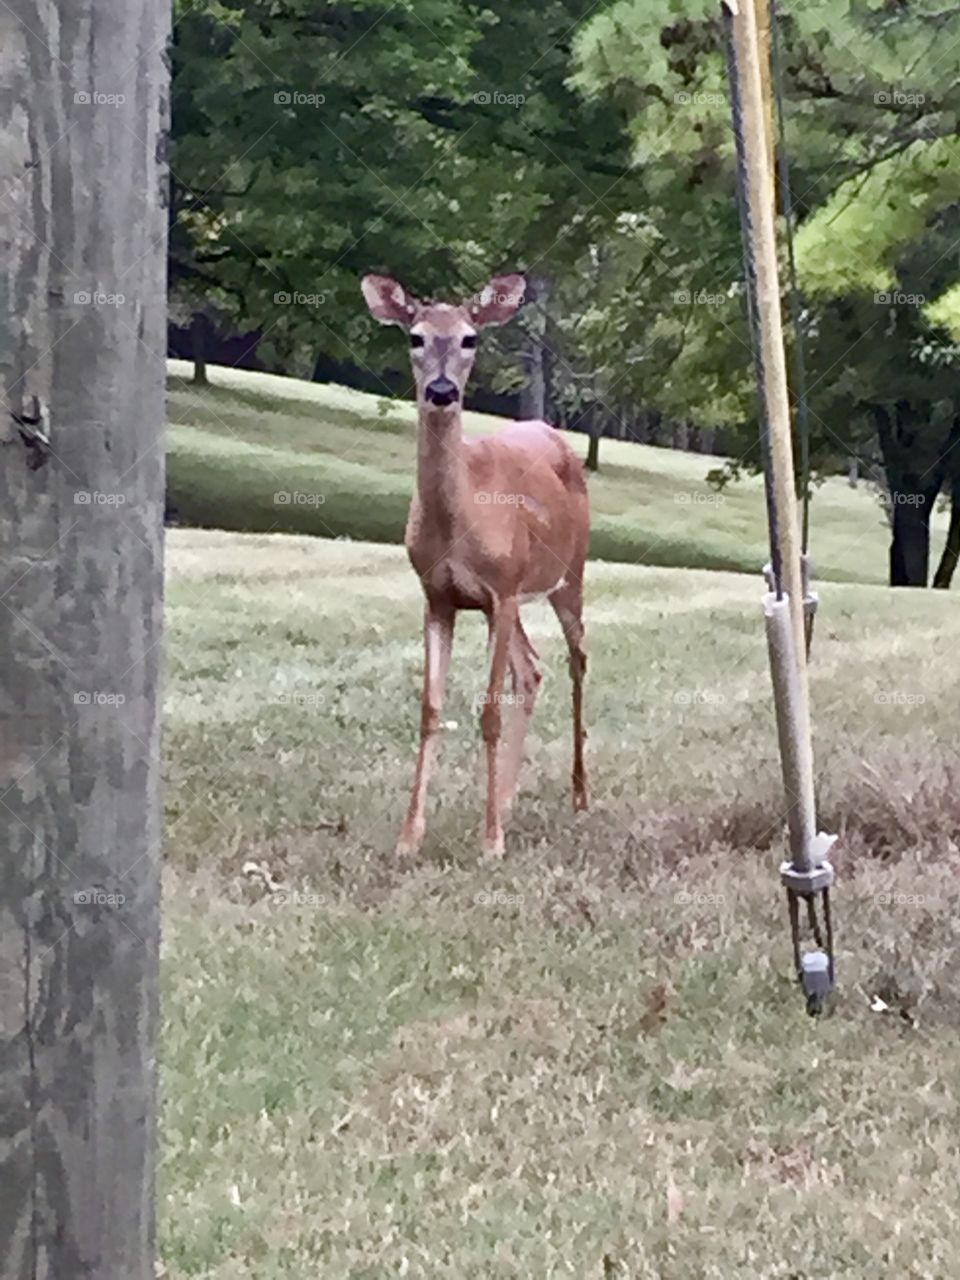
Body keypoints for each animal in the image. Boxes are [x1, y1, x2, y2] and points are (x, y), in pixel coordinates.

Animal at [361, 272, 590, 858]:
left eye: (470, 338)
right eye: (415, 337)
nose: (442, 391)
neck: (457, 524)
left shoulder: (501, 589)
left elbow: (488, 713)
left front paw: (490, 843)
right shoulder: (440, 597)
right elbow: (430, 710)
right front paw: (409, 837)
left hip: (568, 574)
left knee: (577, 660)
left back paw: (578, 795)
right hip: (509, 603)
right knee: (532, 671)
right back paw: (505, 800)